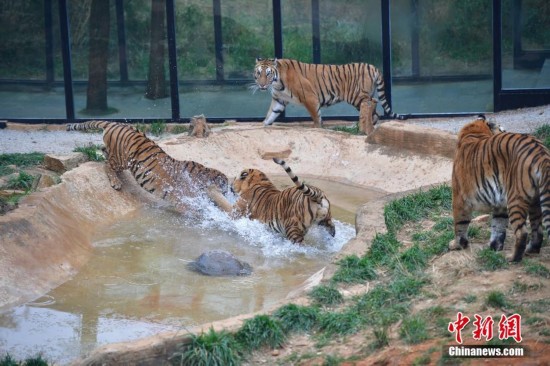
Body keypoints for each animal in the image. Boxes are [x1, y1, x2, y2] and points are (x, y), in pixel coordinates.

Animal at [68, 121, 230, 210]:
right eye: (226, 185)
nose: (230, 192)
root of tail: (115, 123)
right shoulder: (182, 199)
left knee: (104, 152)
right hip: (121, 159)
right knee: (107, 164)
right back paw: (116, 182)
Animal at [207, 157, 336, 243]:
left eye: (234, 179)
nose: (230, 186)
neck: (260, 181)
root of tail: (317, 193)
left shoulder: (236, 212)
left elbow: (222, 202)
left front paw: (211, 190)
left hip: (293, 228)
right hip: (325, 219)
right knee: (331, 227)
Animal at [252, 57, 408, 132]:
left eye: (268, 74)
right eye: (258, 73)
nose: (262, 85)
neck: (277, 82)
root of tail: (372, 66)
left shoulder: (310, 98)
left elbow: (316, 116)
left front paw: (317, 128)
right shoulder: (279, 100)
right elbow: (271, 114)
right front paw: (263, 124)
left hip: (357, 97)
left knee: (374, 113)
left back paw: (359, 127)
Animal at [452, 116, 550, 262]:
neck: (474, 132)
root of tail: (541, 152)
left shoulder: (459, 198)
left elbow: (460, 224)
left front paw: (458, 244)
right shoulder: (500, 203)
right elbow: (498, 225)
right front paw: (494, 247)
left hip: (515, 198)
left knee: (522, 232)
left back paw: (513, 258)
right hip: (535, 201)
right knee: (537, 229)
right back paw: (530, 250)